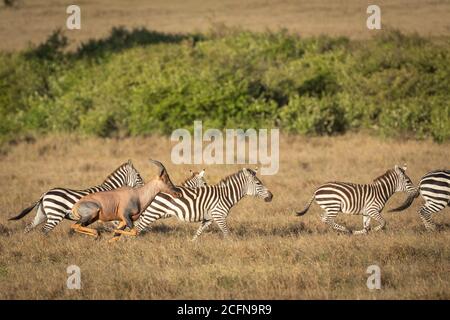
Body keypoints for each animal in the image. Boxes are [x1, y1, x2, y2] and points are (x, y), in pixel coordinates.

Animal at [8, 159, 144, 232]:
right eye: (138, 176)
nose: (144, 186)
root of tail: (45, 193)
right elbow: (120, 225)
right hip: (55, 215)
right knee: (45, 230)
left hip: (42, 214)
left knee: (29, 228)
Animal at [119, 168, 272, 240]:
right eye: (258, 183)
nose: (271, 196)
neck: (226, 195)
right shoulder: (219, 216)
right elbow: (227, 233)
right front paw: (232, 247)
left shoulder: (208, 219)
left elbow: (198, 233)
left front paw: (191, 244)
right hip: (152, 213)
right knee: (137, 227)